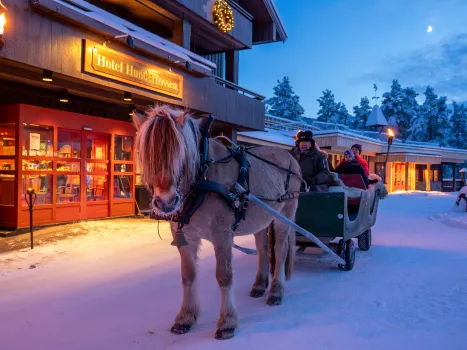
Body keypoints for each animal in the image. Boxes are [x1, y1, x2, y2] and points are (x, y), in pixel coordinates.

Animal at [133, 104, 302, 340]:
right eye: (145, 154)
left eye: (180, 154)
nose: (165, 202)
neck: (201, 179)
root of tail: (290, 156)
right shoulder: (186, 238)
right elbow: (188, 276)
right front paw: (185, 318)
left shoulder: (222, 236)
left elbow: (224, 276)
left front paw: (227, 322)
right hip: (260, 218)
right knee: (262, 249)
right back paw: (260, 285)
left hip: (284, 213)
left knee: (280, 249)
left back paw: (276, 291)